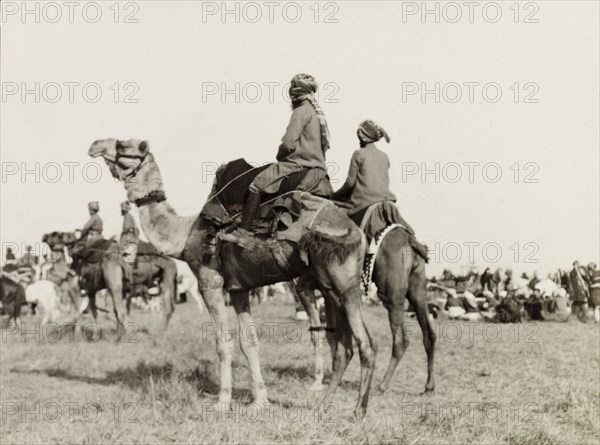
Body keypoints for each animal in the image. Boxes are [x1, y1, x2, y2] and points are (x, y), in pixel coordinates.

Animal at [42, 229, 176, 336]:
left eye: (55, 234)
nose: (44, 235)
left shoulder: (75, 289)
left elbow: (78, 312)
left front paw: (77, 335)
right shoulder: (90, 290)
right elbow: (93, 312)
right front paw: (95, 336)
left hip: (115, 283)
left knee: (121, 311)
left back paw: (121, 339)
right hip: (165, 276)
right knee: (169, 307)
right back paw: (160, 334)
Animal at [89, 138, 378, 416]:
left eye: (124, 145)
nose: (95, 145)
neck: (184, 235)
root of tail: (357, 233)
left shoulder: (210, 283)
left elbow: (223, 344)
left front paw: (222, 402)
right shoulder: (239, 290)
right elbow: (249, 343)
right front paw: (260, 401)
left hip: (341, 284)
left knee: (364, 345)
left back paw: (358, 411)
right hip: (336, 287)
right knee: (349, 346)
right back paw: (324, 405)